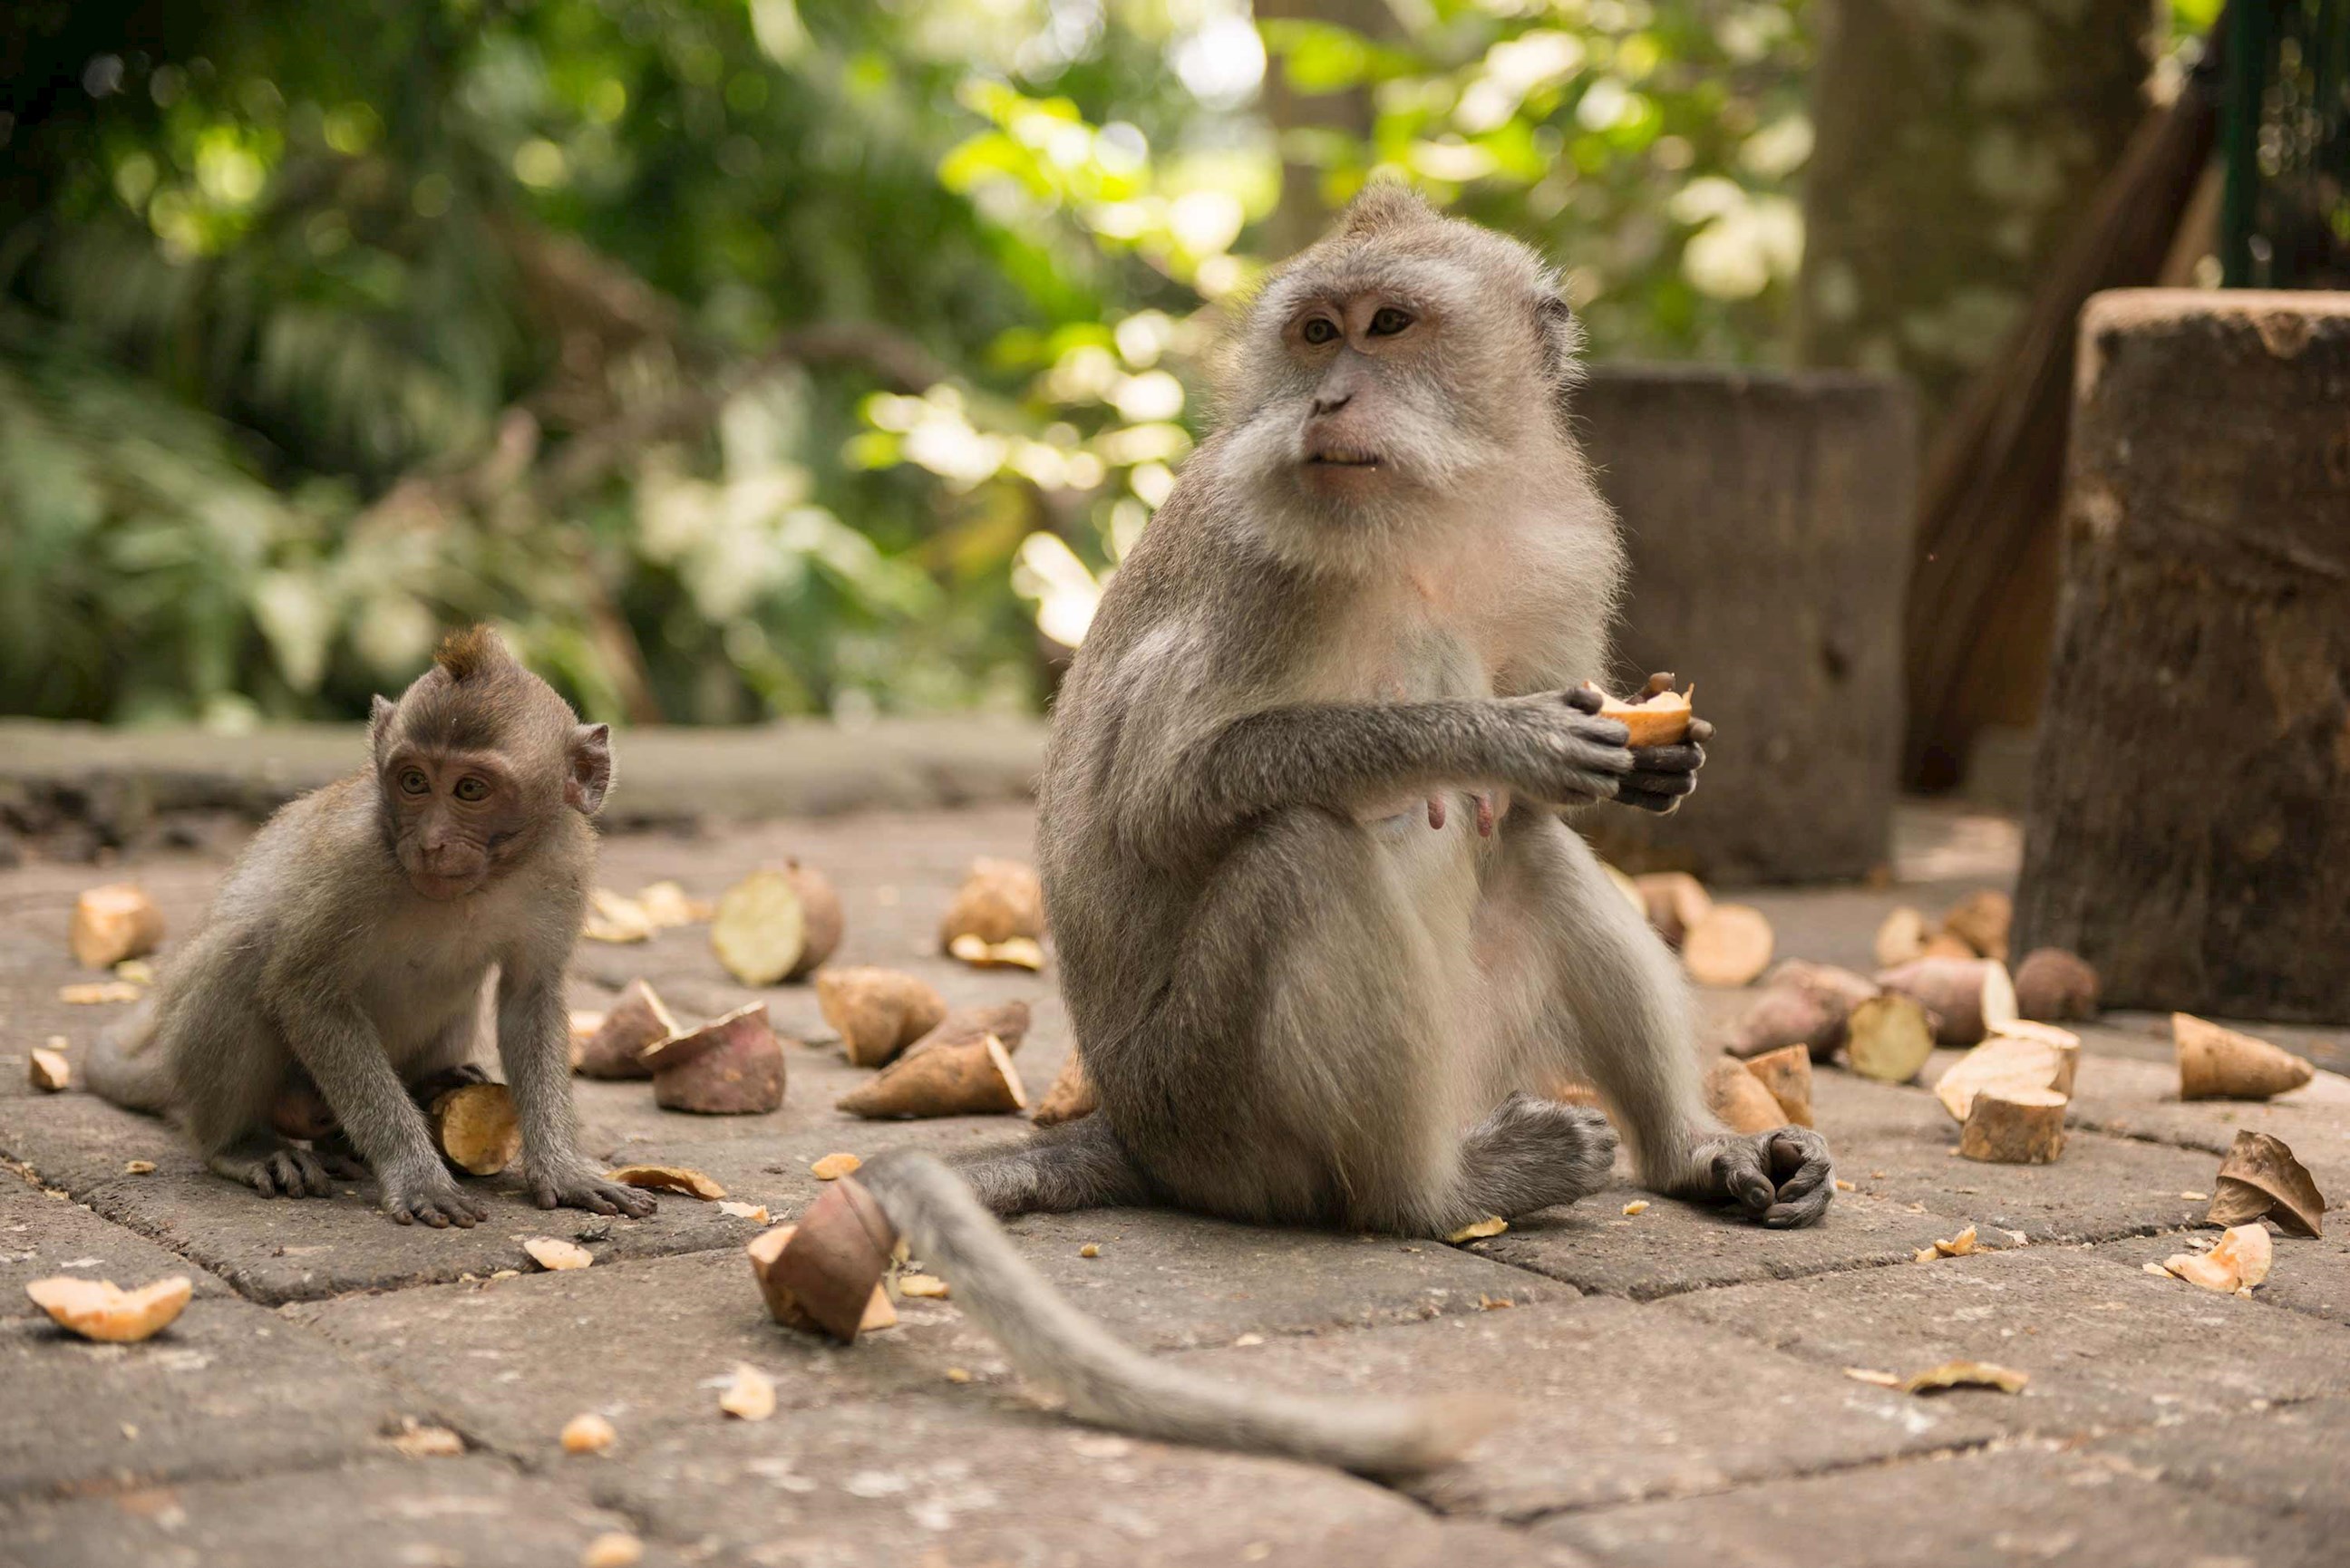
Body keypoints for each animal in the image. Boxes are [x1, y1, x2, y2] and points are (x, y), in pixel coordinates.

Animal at [84, 627, 657, 1228]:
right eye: (414, 781)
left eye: (470, 790)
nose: (430, 843)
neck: (485, 882)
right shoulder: (353, 861)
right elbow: (304, 992)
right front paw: (417, 1176)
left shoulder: (563, 864)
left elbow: (530, 997)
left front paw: (566, 1171)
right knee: (243, 956)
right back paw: (242, 1146)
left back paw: (423, 1093)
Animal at [828, 187, 1832, 1477]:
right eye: (1315, 334)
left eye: (1388, 325)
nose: (1328, 401)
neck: (1431, 510)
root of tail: (1140, 1131)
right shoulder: (1270, 566)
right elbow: (1164, 795)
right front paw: (1491, 734)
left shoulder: (1562, 543)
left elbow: (1543, 808)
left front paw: (1659, 760)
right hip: (1214, 1103)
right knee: (1303, 851)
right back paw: (1433, 1195)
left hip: (1465, 1053)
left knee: (1524, 857)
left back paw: (1699, 1154)